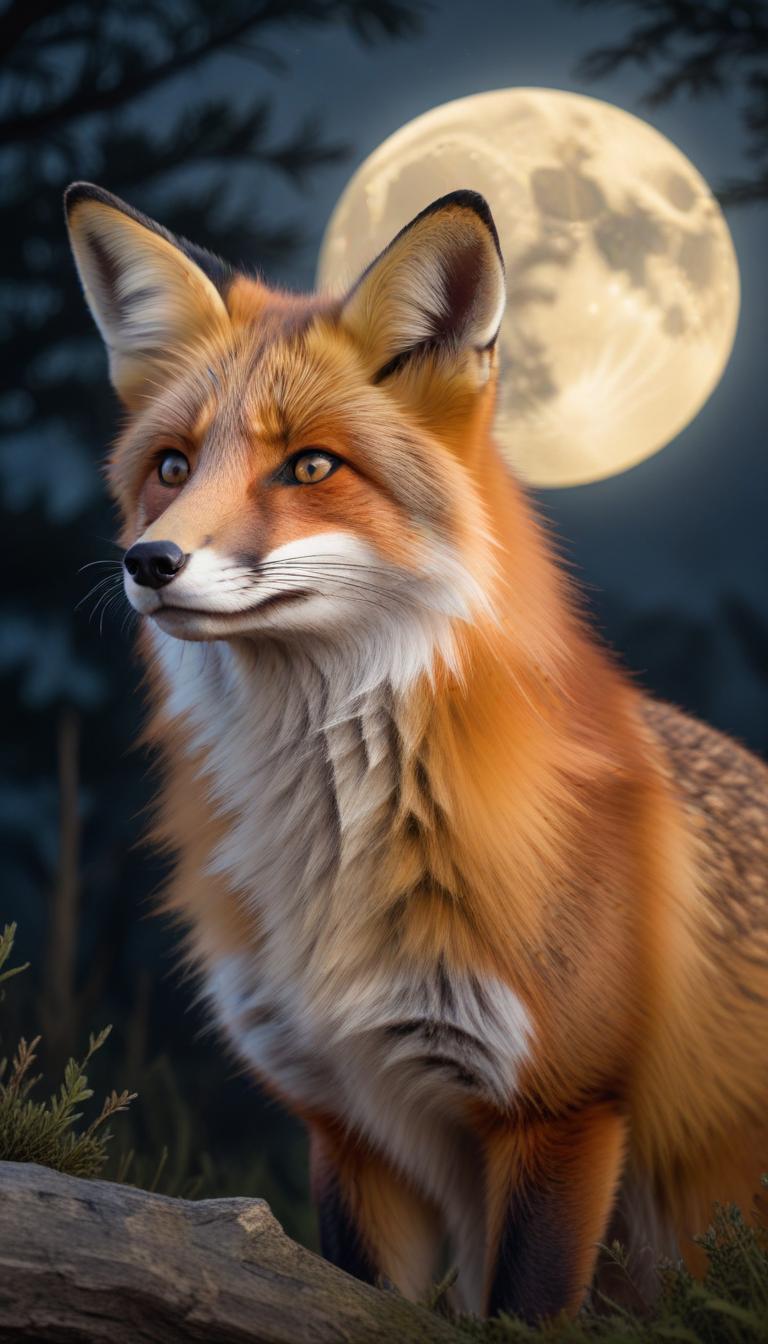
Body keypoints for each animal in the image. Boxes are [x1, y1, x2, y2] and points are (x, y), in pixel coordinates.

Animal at [65, 179, 768, 1322]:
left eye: (310, 465)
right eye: (171, 467)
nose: (149, 561)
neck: (337, 863)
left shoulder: (561, 1111)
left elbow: (523, 1311)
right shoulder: (347, 1120)